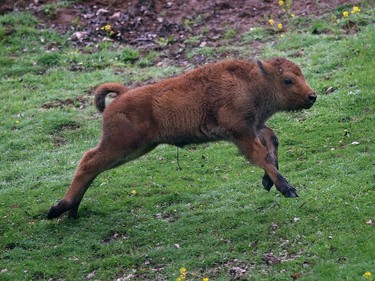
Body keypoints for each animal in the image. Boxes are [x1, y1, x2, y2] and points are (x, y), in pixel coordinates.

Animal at [47, 57, 318, 219]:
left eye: (301, 75)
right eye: (287, 79)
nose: (312, 96)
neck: (251, 82)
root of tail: (123, 94)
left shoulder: (254, 128)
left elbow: (271, 140)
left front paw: (268, 181)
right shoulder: (241, 133)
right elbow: (261, 155)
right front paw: (286, 188)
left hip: (137, 147)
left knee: (94, 166)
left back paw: (71, 211)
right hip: (123, 145)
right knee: (89, 161)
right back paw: (59, 208)